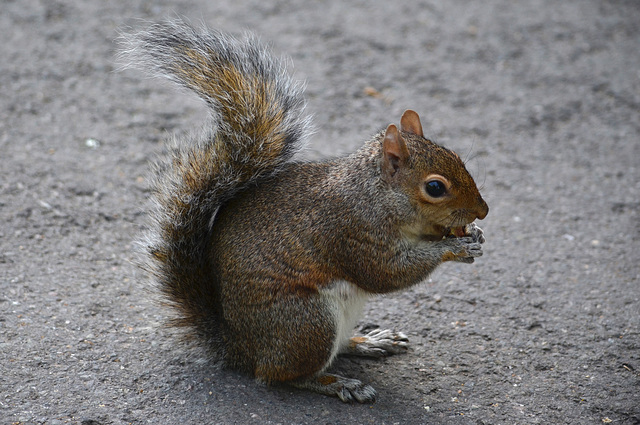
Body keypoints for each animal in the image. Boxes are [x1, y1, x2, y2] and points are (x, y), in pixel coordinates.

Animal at [121, 19, 490, 400]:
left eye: (457, 157)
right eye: (435, 188)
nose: (483, 211)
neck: (375, 194)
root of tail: (239, 348)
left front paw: (474, 236)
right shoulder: (351, 231)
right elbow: (385, 273)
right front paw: (454, 248)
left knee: (333, 349)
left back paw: (368, 341)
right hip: (306, 322)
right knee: (280, 375)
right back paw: (336, 382)